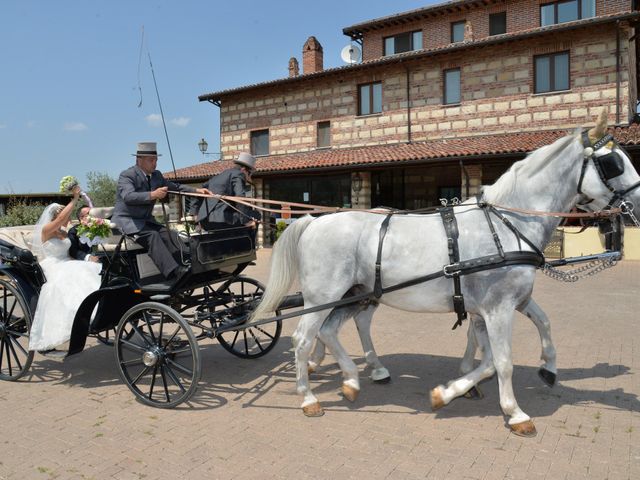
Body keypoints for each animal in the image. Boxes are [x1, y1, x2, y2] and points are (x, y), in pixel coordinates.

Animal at [252, 111, 636, 436]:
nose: (635, 206)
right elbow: (501, 361)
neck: (505, 222)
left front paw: (543, 369)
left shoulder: (501, 304)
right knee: (304, 339)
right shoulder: (497, 309)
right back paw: (309, 396)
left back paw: (353, 379)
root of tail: (313, 221)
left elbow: (530, 330)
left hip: (354, 294)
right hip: (324, 296)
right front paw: (513, 412)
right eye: (613, 163)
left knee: (331, 331)